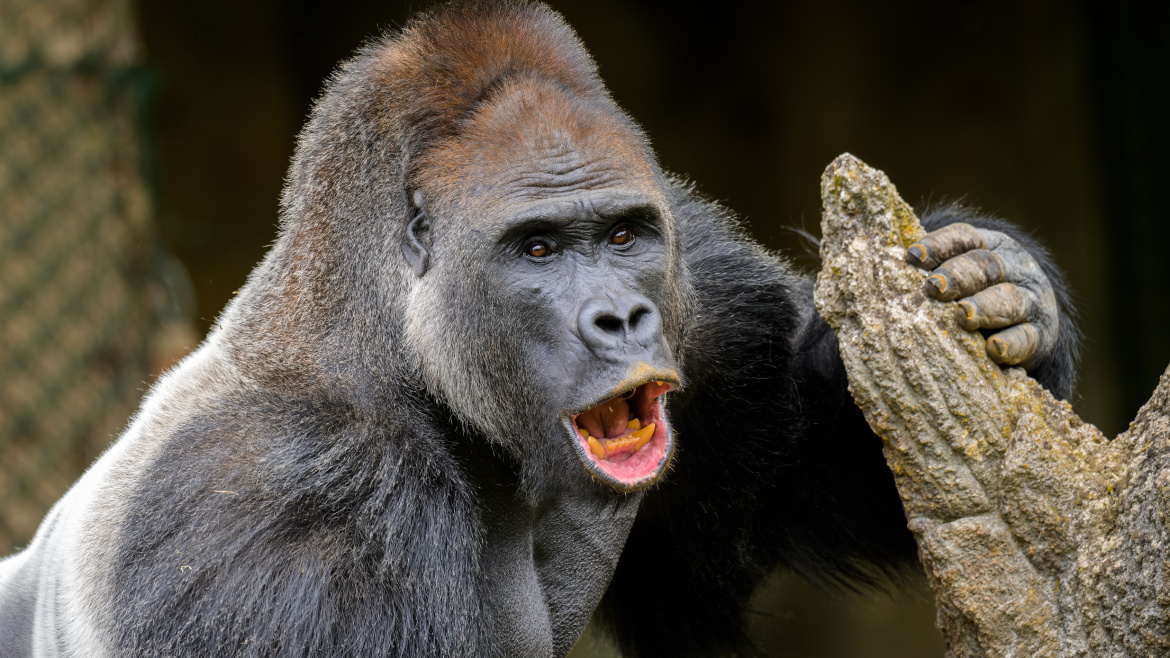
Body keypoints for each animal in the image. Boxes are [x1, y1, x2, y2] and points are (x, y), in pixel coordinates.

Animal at [0, 2, 1076, 650]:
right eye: (538, 249)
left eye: (623, 234)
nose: (622, 317)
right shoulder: (284, 506)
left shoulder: (704, 299)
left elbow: (818, 474)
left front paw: (1005, 279)